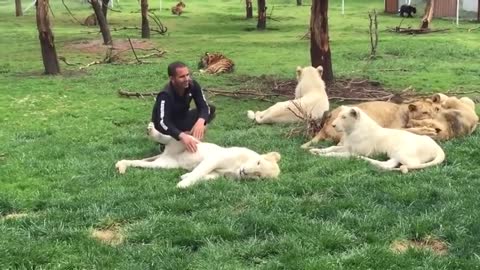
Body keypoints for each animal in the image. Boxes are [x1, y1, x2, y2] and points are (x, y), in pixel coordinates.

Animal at [115, 123, 282, 188]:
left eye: (258, 176)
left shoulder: (219, 175)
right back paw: (151, 129)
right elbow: (199, 172)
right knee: (168, 136)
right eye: (258, 163)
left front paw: (184, 177)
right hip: (188, 140)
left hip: (163, 165)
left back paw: (121, 166)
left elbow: (204, 176)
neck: (237, 168)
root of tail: (166, 153)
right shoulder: (215, 159)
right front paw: (182, 185)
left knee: (139, 163)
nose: (245, 172)